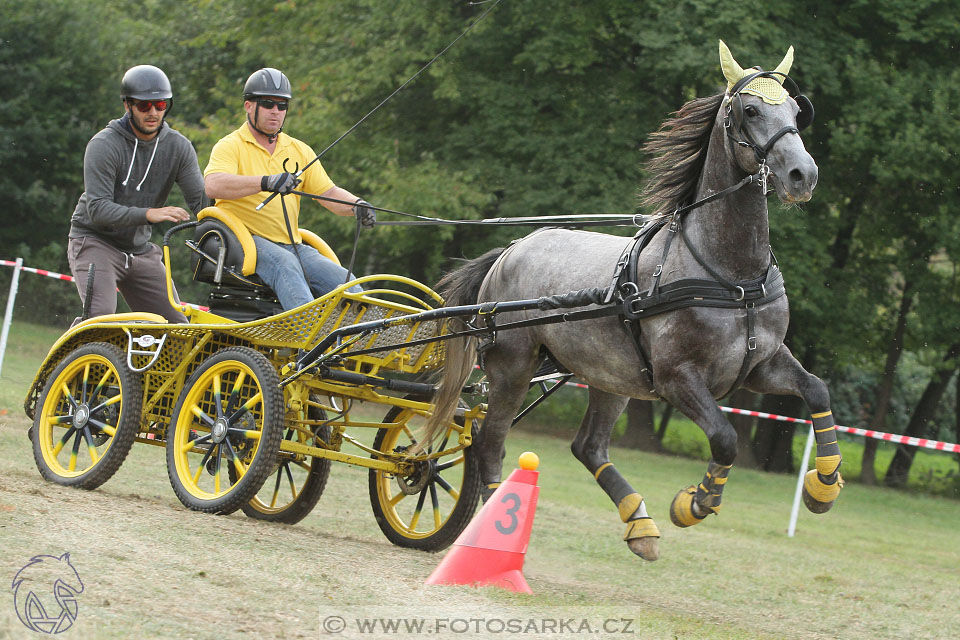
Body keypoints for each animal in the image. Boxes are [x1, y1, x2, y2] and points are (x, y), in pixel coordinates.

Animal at [424, 41, 844, 560]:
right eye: (750, 110)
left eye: (795, 111)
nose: (802, 174)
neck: (731, 276)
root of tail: (511, 249)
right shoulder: (676, 378)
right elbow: (725, 438)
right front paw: (696, 502)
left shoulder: (760, 365)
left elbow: (817, 390)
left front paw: (824, 486)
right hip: (513, 368)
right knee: (490, 442)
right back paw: (492, 528)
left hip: (611, 375)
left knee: (588, 446)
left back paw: (638, 524)